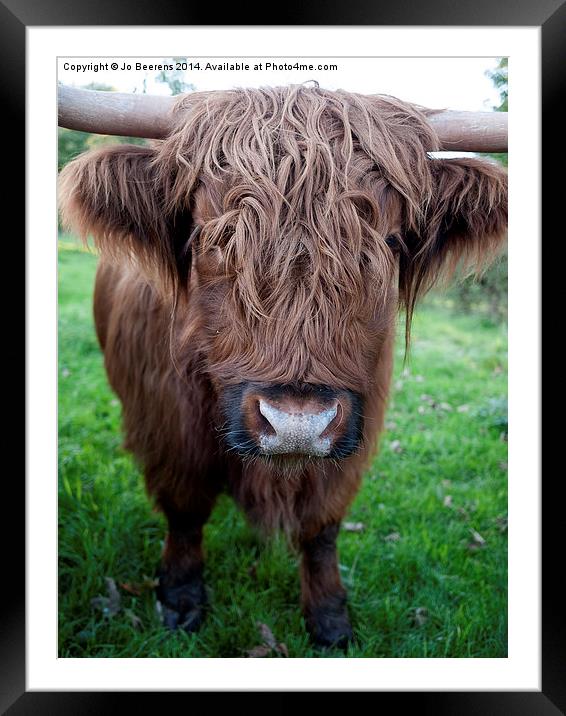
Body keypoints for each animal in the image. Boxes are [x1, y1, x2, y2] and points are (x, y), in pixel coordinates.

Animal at [61, 85, 510, 648]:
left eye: (389, 242)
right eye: (210, 238)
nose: (297, 423)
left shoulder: (356, 427)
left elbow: (321, 527)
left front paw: (331, 618)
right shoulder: (165, 424)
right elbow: (185, 510)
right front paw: (181, 600)